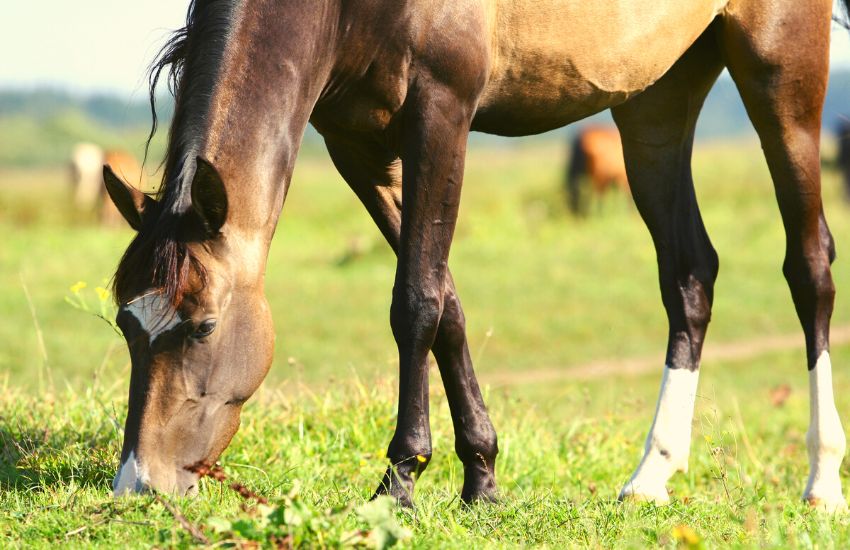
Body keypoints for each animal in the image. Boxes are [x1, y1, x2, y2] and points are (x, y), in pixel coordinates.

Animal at [104, 0, 848, 512]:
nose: (139, 483)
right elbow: (448, 306)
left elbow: (416, 302)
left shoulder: (442, 113)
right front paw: (481, 477)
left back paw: (821, 481)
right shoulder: (359, 149)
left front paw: (400, 480)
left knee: (809, 267)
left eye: (203, 327)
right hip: (654, 103)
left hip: (781, 73)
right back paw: (651, 475)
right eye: (125, 327)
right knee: (690, 275)